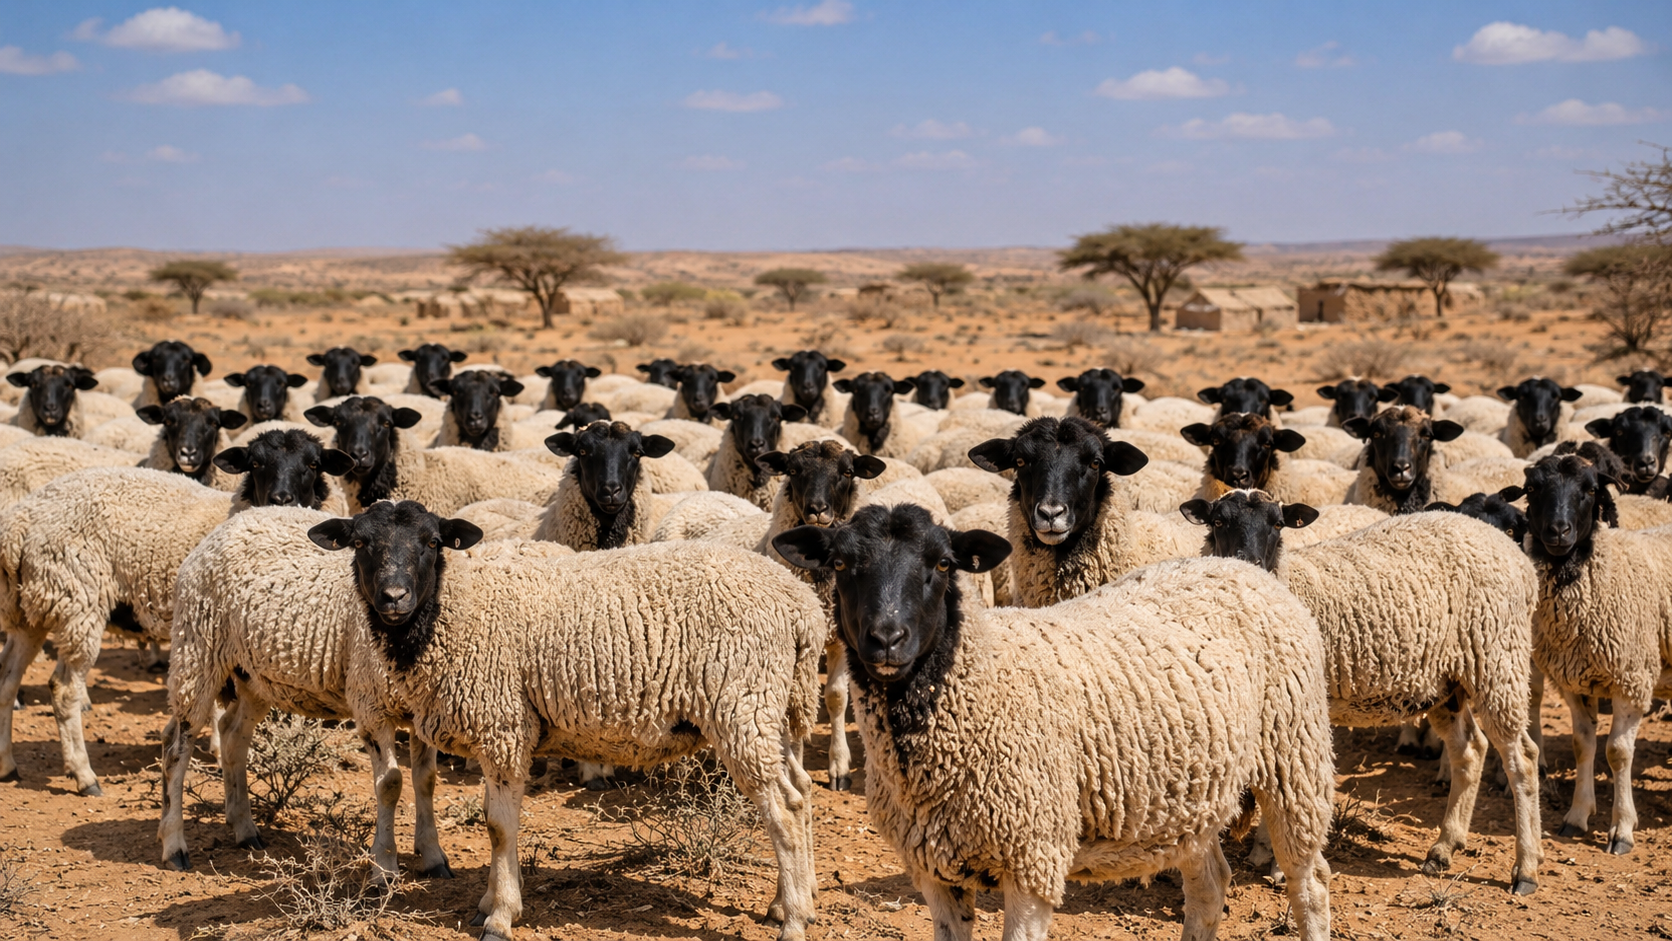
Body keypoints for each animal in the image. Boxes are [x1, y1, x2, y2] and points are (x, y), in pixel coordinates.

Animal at [0, 431, 352, 795]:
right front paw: (217, 749)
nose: (281, 498)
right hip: (78, 601)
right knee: (63, 689)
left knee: (7, 678)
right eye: (255, 463)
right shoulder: (212, 634)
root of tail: (20, 522)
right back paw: (85, 776)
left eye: (314, 464)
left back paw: (8, 765)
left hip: (31, 608)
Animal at [307, 501, 824, 941]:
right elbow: (499, 819)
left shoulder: (501, 723)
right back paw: (789, 902)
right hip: (774, 710)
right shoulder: (503, 732)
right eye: (360, 543)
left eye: (432, 542)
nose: (393, 597)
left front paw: (499, 917)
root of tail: (800, 605)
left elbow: (497, 826)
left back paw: (794, 921)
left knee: (784, 808)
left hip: (742, 706)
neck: (452, 610)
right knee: (801, 791)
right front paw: (491, 902)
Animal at [773, 504, 1334, 941]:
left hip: (1294, 755)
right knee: (1210, 887)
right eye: (841, 562)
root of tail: (1241, 568)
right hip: (1194, 796)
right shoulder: (936, 871)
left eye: (943, 563)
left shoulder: (1032, 858)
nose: (887, 639)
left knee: (1312, 885)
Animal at [1180, 490, 1542, 892]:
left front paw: (1276, 864)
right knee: (1470, 750)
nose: (1249, 561)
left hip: (1499, 658)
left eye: (1278, 524)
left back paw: (1525, 869)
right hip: (1444, 683)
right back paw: (1443, 848)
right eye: (1218, 521)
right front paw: (1263, 851)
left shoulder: (1297, 708)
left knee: (1522, 758)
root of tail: (1516, 556)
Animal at [1521, 443, 1672, 856]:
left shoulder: (1632, 679)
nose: (1558, 530)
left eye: (1590, 490)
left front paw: (1622, 829)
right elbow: (1582, 745)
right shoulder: (1573, 681)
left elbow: (1617, 752)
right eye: (1532, 489)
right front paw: (1577, 816)